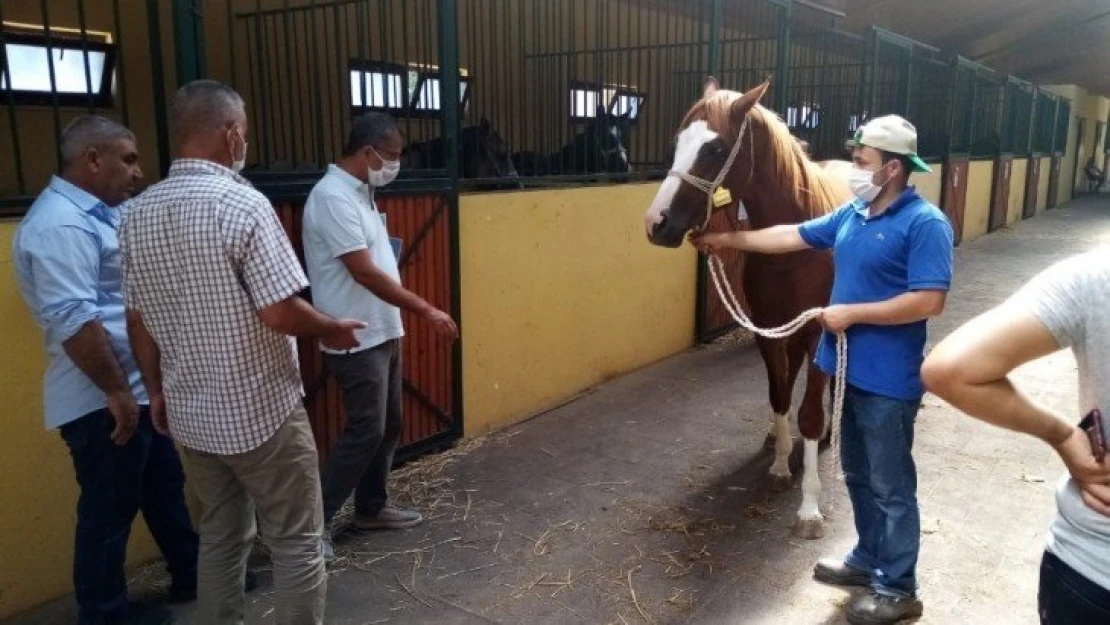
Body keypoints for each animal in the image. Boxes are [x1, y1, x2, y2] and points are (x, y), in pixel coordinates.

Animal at [643, 77, 848, 537]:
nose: (656, 223)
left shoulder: (818, 332)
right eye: (677, 143)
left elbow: (809, 412)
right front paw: (779, 464)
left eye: (715, 148)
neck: (794, 243)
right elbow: (779, 394)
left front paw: (809, 507)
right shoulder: (767, 328)